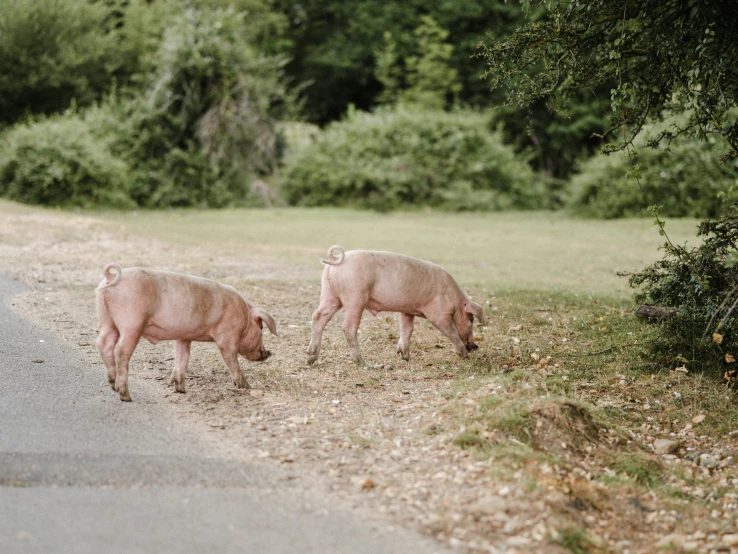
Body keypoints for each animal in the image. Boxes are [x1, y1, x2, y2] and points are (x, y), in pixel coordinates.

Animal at [93, 264, 274, 402]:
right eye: (261, 328)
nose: (268, 353)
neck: (244, 317)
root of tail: (111, 277)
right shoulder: (228, 335)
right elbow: (231, 358)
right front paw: (246, 386)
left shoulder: (184, 336)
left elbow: (183, 356)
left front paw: (179, 389)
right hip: (131, 322)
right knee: (120, 350)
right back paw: (125, 395)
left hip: (106, 318)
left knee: (103, 343)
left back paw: (112, 384)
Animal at [304, 244, 484, 364]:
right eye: (471, 319)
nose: (475, 347)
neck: (454, 301)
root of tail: (336, 260)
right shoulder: (439, 314)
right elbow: (451, 330)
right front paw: (463, 355)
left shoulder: (407, 310)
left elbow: (407, 329)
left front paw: (405, 357)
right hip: (354, 296)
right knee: (348, 327)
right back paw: (362, 362)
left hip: (329, 294)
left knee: (318, 317)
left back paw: (310, 359)